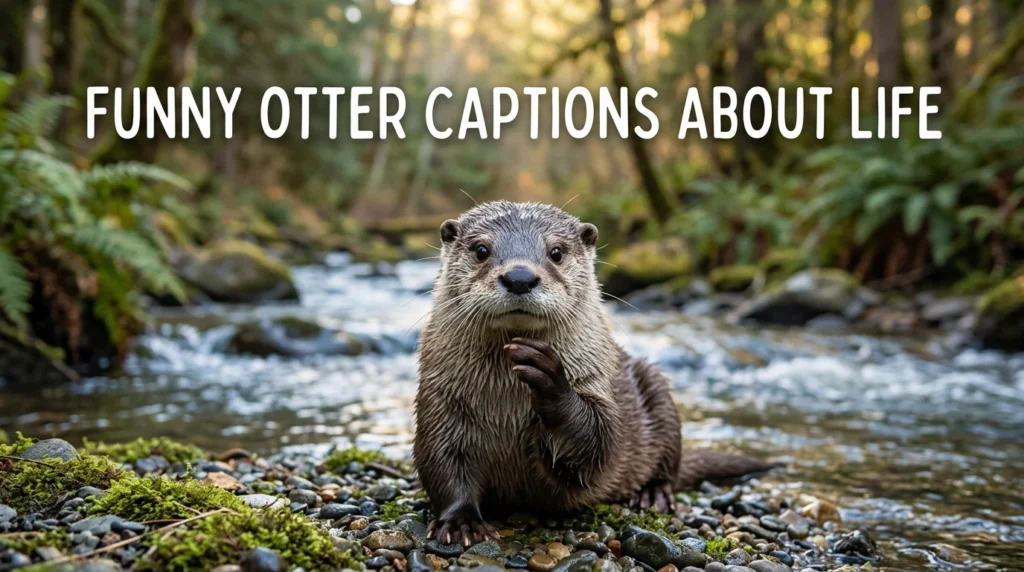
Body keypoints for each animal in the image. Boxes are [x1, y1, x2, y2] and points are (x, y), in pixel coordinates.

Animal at [414, 201, 774, 545]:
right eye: (481, 250)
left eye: (556, 252)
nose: (519, 277)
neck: (506, 408)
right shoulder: (440, 403)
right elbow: (441, 462)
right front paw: (461, 521)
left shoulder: (598, 384)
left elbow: (596, 447)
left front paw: (551, 380)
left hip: (656, 389)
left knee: (669, 462)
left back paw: (653, 493)